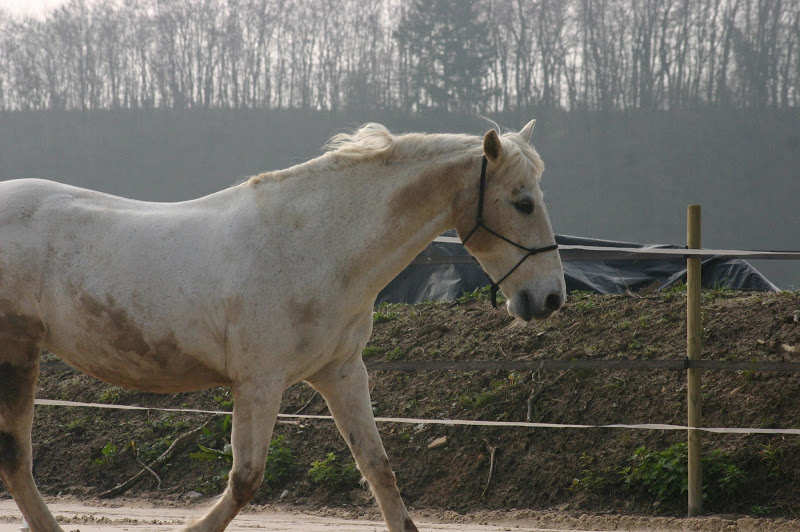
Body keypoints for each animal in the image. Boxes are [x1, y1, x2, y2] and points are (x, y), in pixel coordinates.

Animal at [0, 121, 564, 532]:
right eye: (522, 202)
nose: (551, 298)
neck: (313, 245)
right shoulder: (260, 383)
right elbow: (246, 479)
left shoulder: (342, 374)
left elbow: (379, 469)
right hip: (17, 355)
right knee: (16, 459)